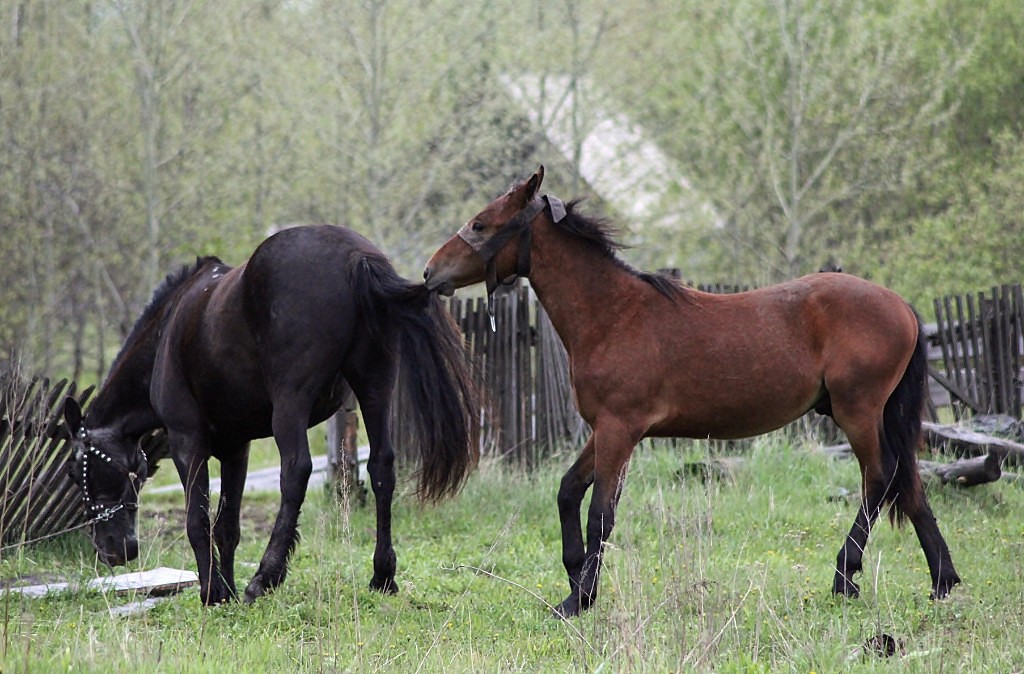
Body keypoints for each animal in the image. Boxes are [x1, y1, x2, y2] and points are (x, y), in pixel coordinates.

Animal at [64, 223, 479, 602]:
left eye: (75, 471)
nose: (113, 550)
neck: (170, 328)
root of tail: (355, 256)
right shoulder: (236, 449)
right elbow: (227, 525)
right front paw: (226, 591)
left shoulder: (187, 442)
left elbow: (197, 519)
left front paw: (212, 592)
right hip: (376, 387)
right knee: (381, 467)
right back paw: (382, 576)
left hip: (291, 403)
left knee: (296, 471)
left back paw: (265, 576)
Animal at [421, 166, 958, 614]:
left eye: (481, 225)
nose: (430, 273)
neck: (613, 315)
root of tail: (902, 307)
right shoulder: (604, 429)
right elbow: (569, 491)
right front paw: (575, 581)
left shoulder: (620, 430)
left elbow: (599, 515)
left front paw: (579, 600)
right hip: (878, 413)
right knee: (908, 482)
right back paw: (943, 581)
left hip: (857, 410)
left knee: (880, 477)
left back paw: (846, 577)